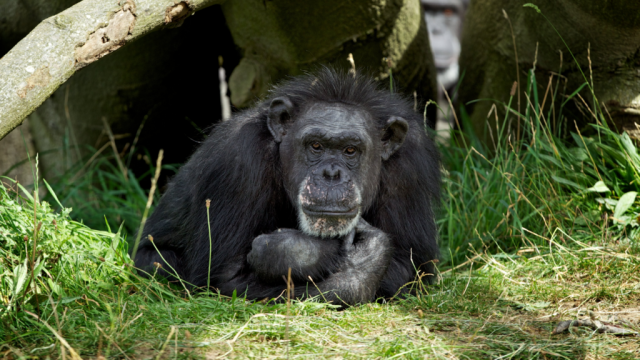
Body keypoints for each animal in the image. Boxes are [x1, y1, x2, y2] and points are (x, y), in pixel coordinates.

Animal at [134, 67, 440, 304]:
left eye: (350, 150)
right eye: (315, 146)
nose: (331, 174)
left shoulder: (409, 169)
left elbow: (408, 267)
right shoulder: (238, 161)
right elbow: (225, 279)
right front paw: (328, 256)